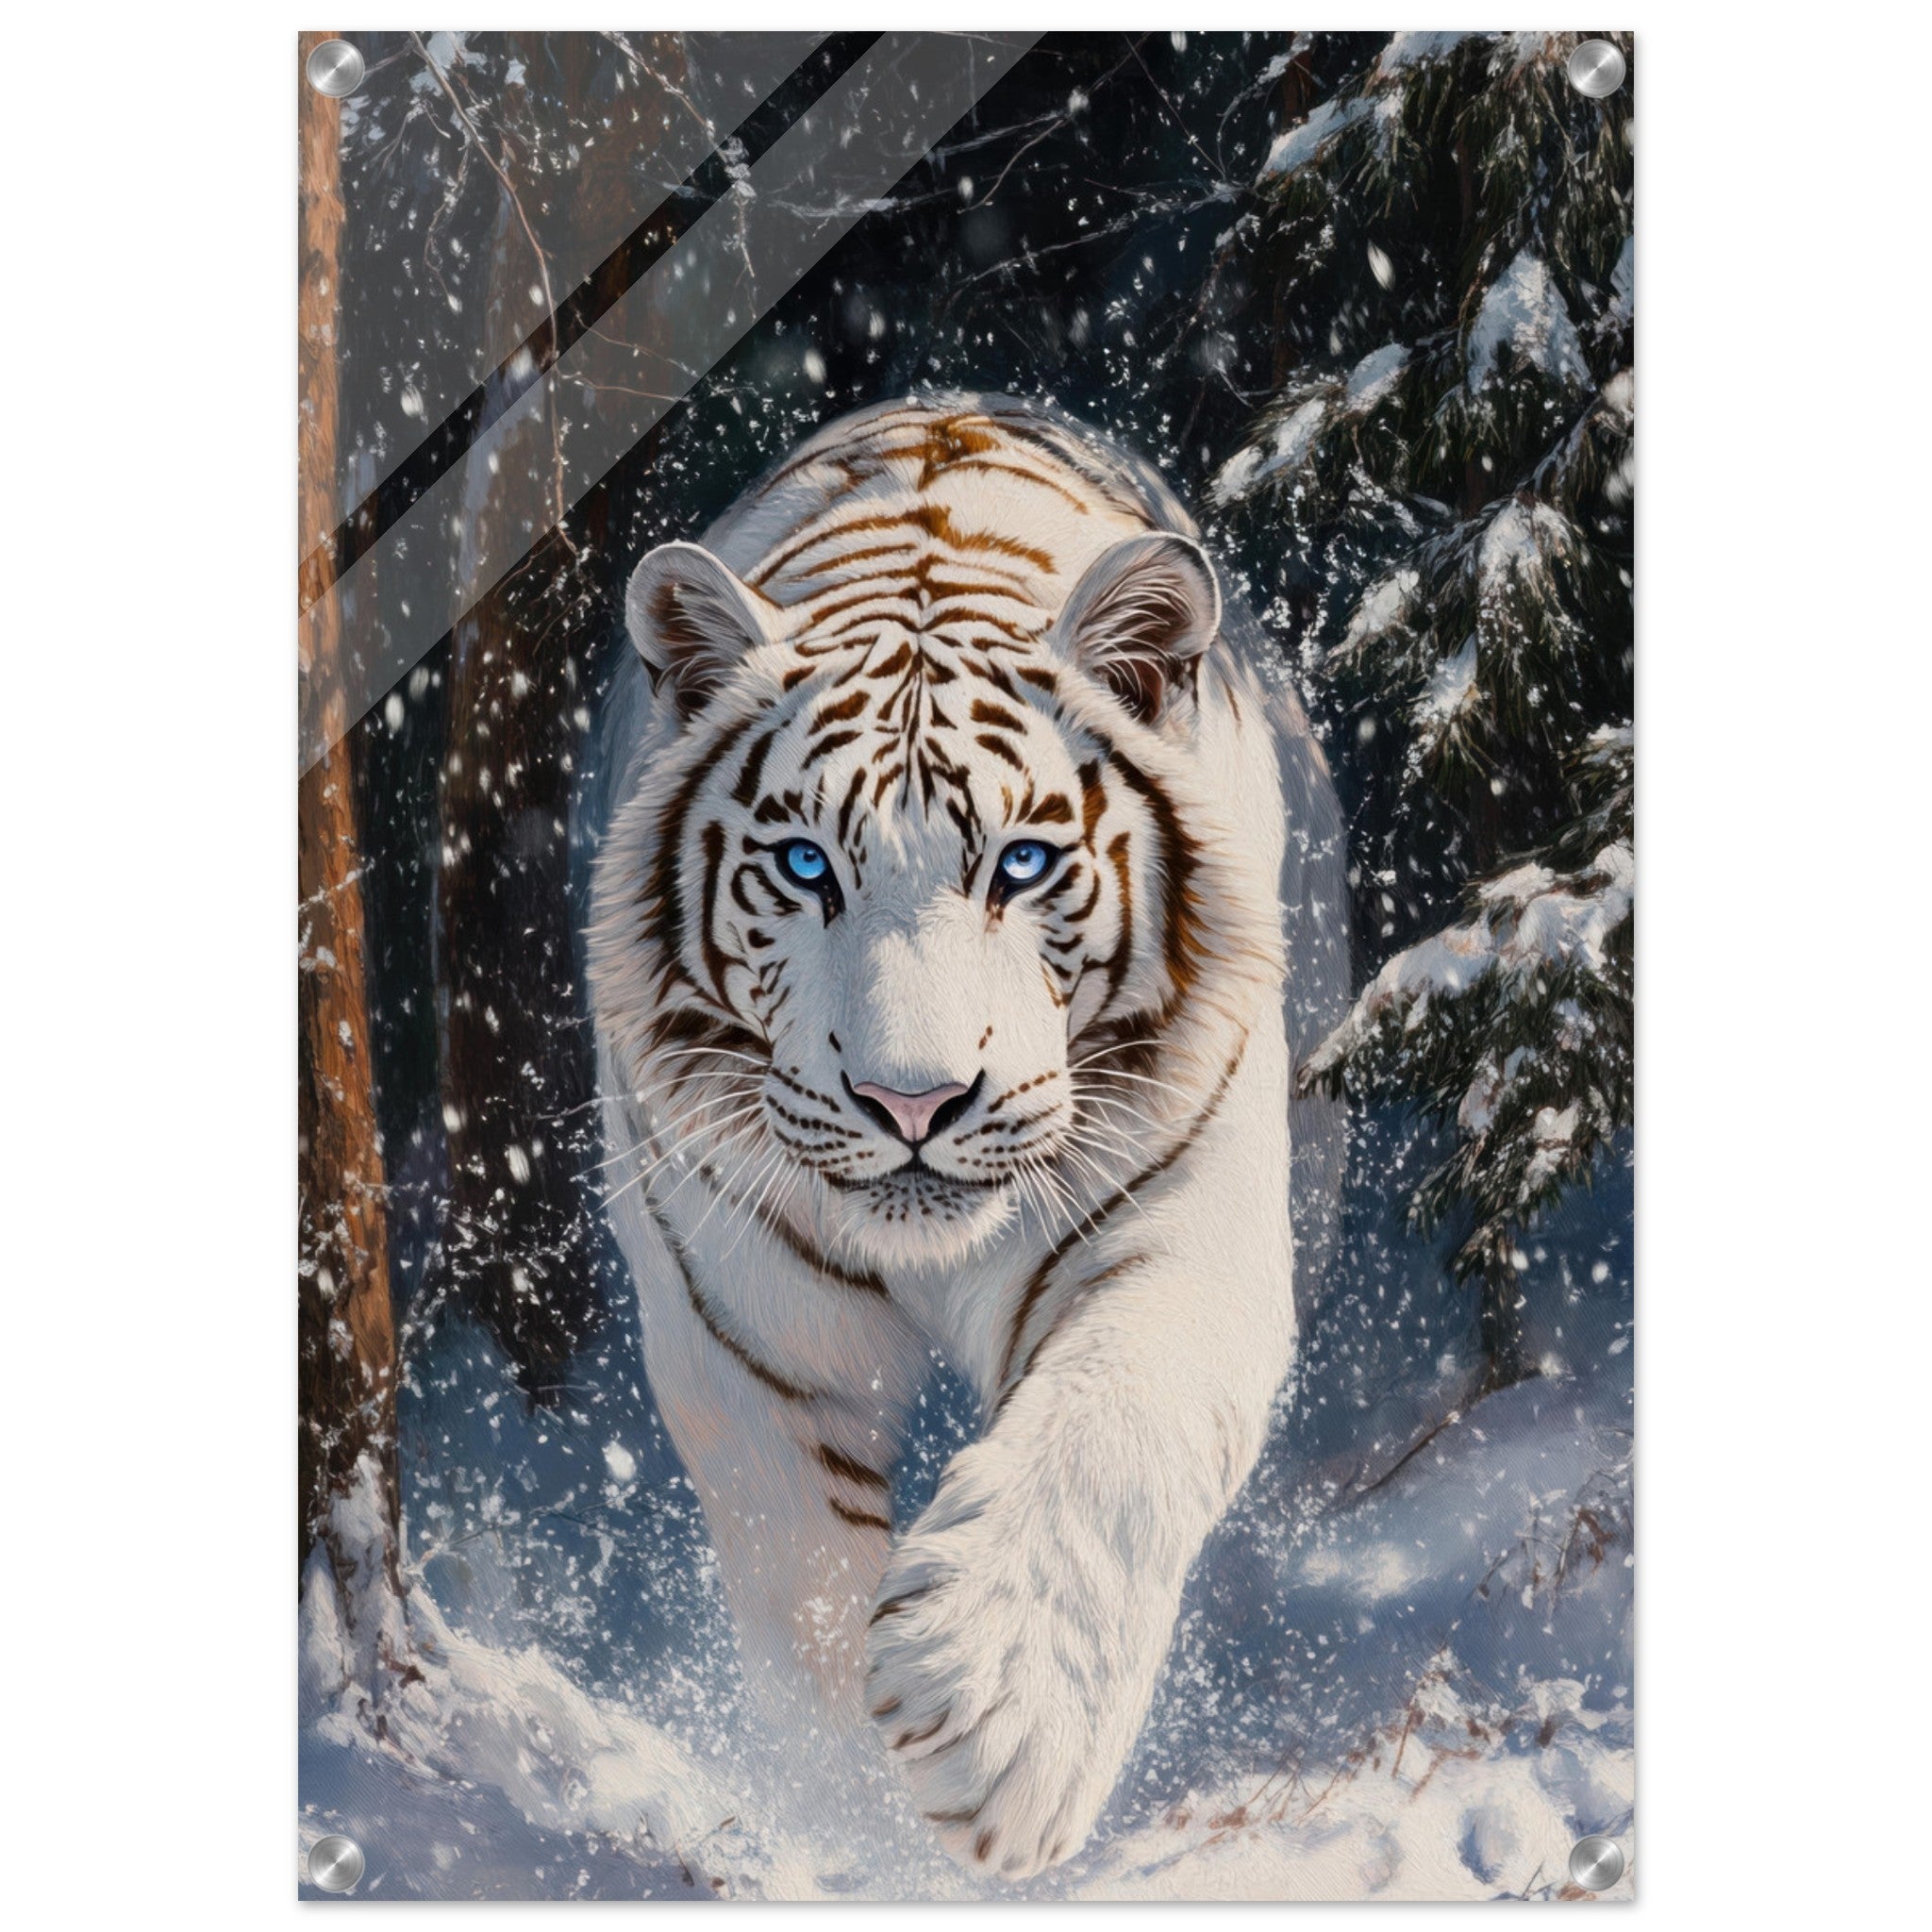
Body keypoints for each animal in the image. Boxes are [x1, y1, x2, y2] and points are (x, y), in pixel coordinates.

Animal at [586, 393, 1347, 1881]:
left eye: (1024, 864)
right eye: (805, 867)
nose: (913, 1102)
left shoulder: (1185, 1233)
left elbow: (1113, 1437)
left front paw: (995, 1720)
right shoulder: (742, 1333)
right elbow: (800, 1592)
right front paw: (863, 1831)